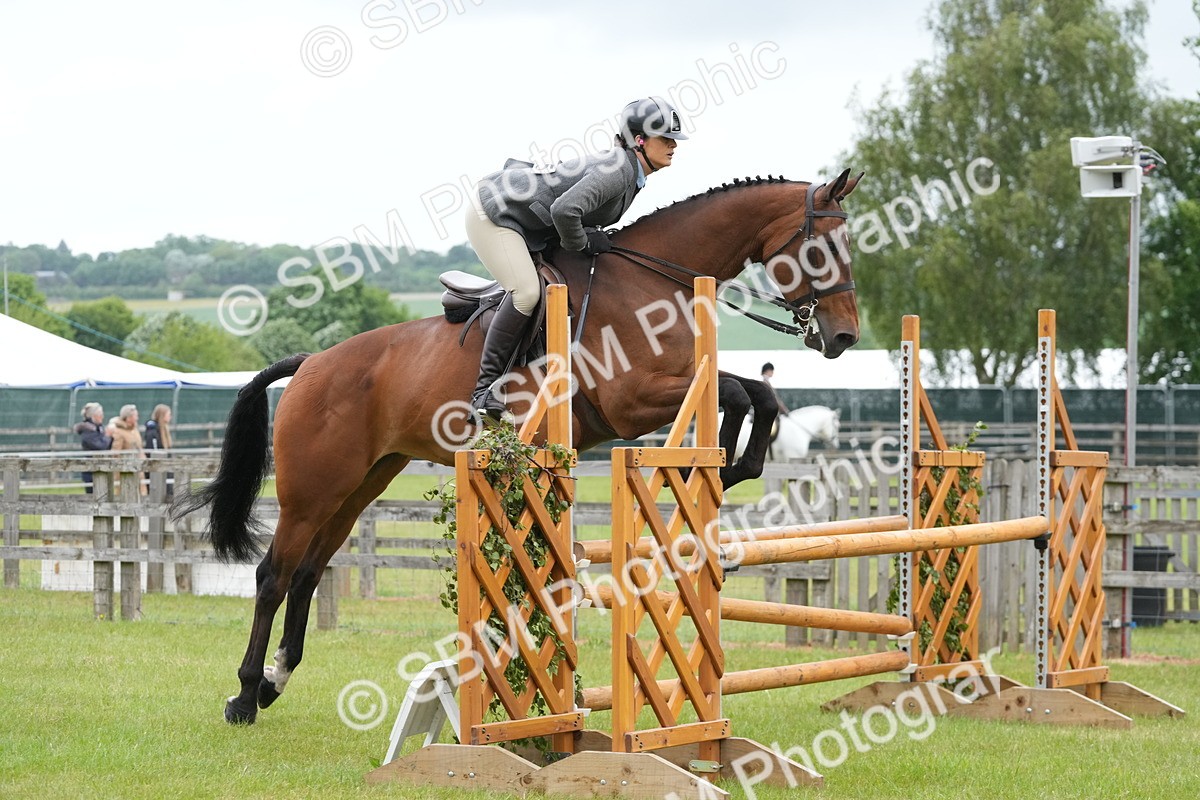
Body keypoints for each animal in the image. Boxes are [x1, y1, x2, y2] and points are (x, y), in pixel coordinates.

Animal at [175, 169, 863, 724]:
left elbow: (756, 392)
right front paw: (729, 456)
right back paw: (244, 696)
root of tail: (311, 362)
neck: (653, 282)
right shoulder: (631, 400)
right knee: (272, 576)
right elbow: (740, 392)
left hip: (362, 483)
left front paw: (739, 464)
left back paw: (274, 682)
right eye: (823, 248)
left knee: (309, 573)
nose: (844, 338)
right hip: (312, 489)